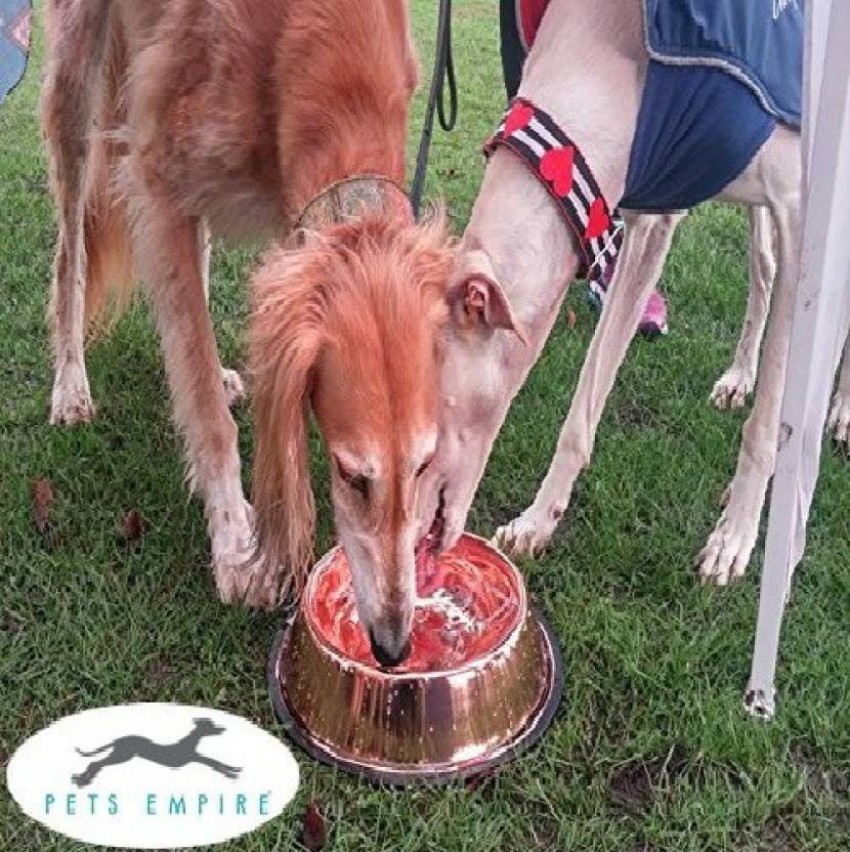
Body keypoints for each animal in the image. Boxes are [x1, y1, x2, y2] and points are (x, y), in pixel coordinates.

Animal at [41, 0, 450, 664]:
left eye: (423, 466)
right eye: (350, 476)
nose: (393, 648)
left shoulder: (292, 216)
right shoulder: (156, 174)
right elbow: (206, 409)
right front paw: (236, 542)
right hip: (80, 86)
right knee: (70, 251)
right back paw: (71, 383)